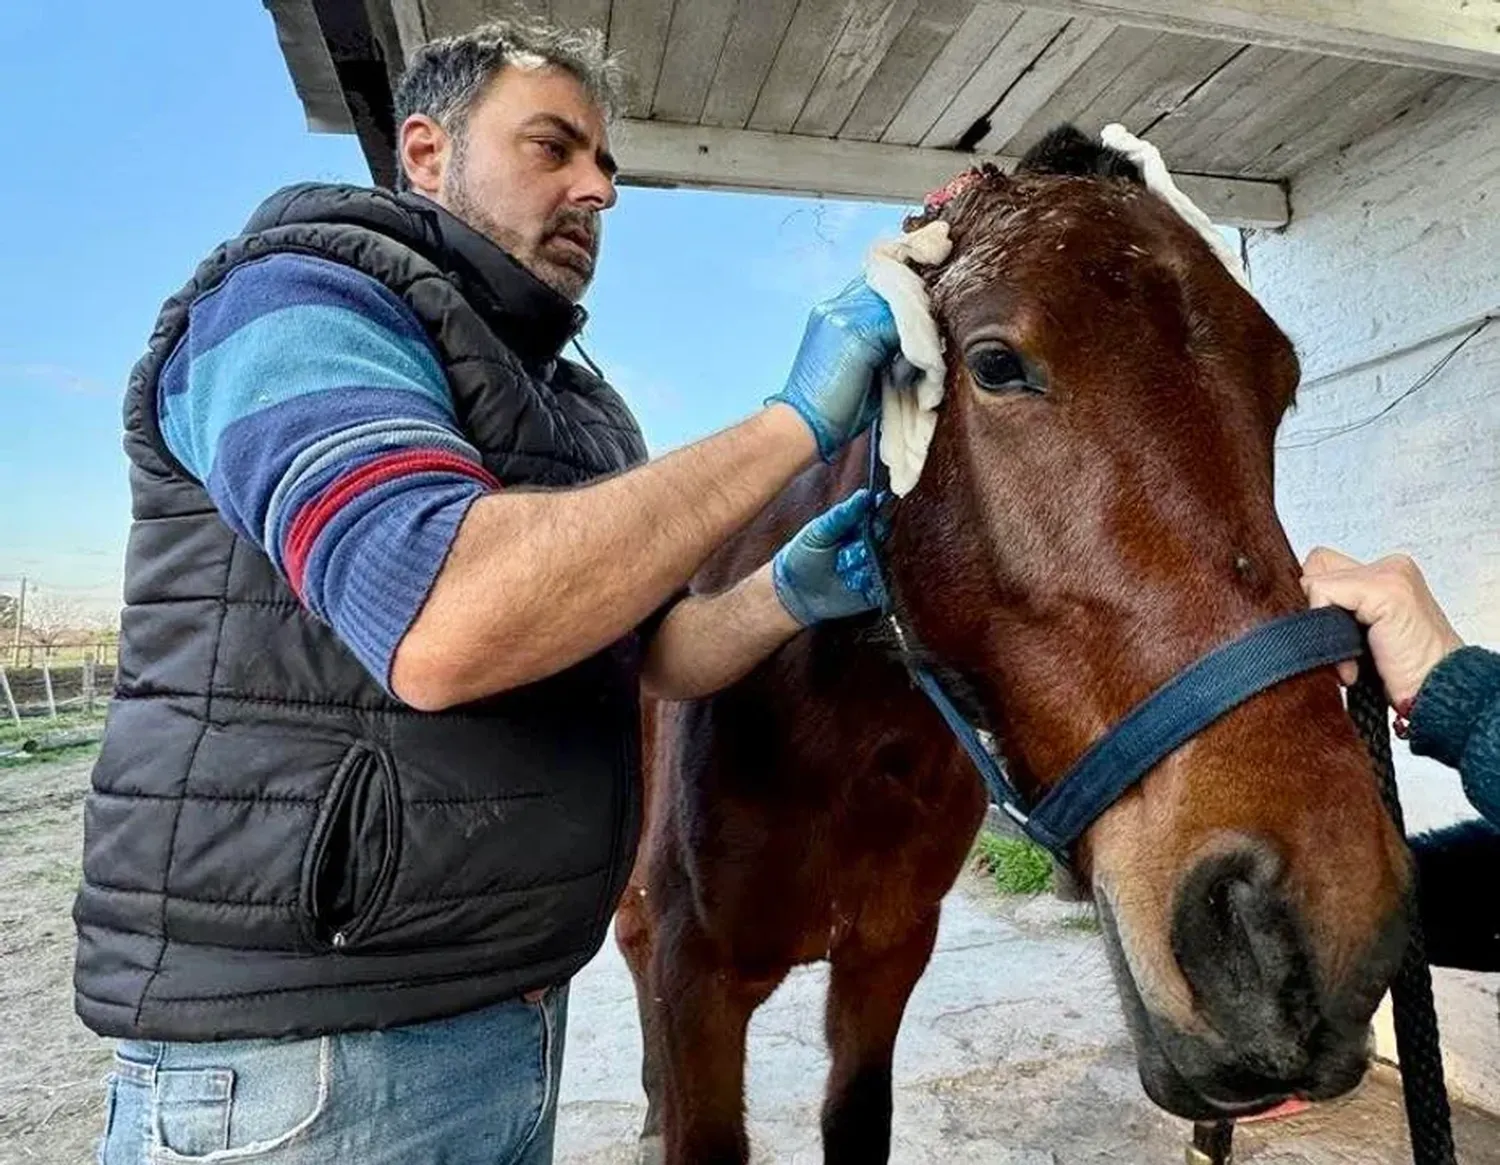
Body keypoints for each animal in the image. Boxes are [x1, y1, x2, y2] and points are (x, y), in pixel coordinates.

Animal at [615, 125, 1410, 1163]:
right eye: (994, 364)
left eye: (1281, 384)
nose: (1310, 928)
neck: (836, 740)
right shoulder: (697, 980)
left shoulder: (886, 960)